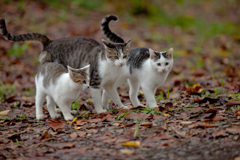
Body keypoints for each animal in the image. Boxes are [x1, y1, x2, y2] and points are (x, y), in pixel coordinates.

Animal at [0, 18, 131, 114]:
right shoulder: (94, 82)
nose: (121, 63)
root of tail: (50, 41)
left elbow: (115, 96)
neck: (111, 67)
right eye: (115, 56)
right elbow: (97, 99)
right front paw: (100, 111)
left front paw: (122, 107)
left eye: (124, 56)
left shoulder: (109, 84)